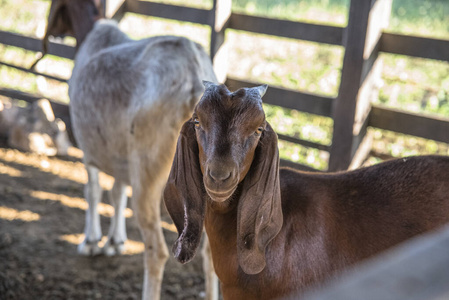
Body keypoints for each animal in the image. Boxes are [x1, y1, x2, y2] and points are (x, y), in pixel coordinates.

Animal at [40, 1, 219, 298]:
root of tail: (194, 82)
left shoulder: (88, 146)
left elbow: (93, 190)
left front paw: (91, 241)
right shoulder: (120, 154)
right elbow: (116, 192)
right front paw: (114, 241)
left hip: (148, 173)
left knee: (156, 251)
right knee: (211, 253)